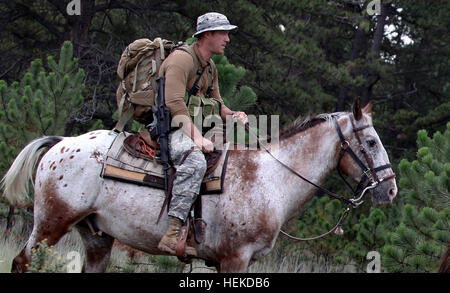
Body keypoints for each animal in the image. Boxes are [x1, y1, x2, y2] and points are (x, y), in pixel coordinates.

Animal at [1, 101, 396, 272]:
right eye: (371, 142)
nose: (390, 190)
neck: (269, 179)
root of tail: (61, 142)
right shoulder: (235, 259)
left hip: (97, 237)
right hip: (50, 225)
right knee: (22, 261)